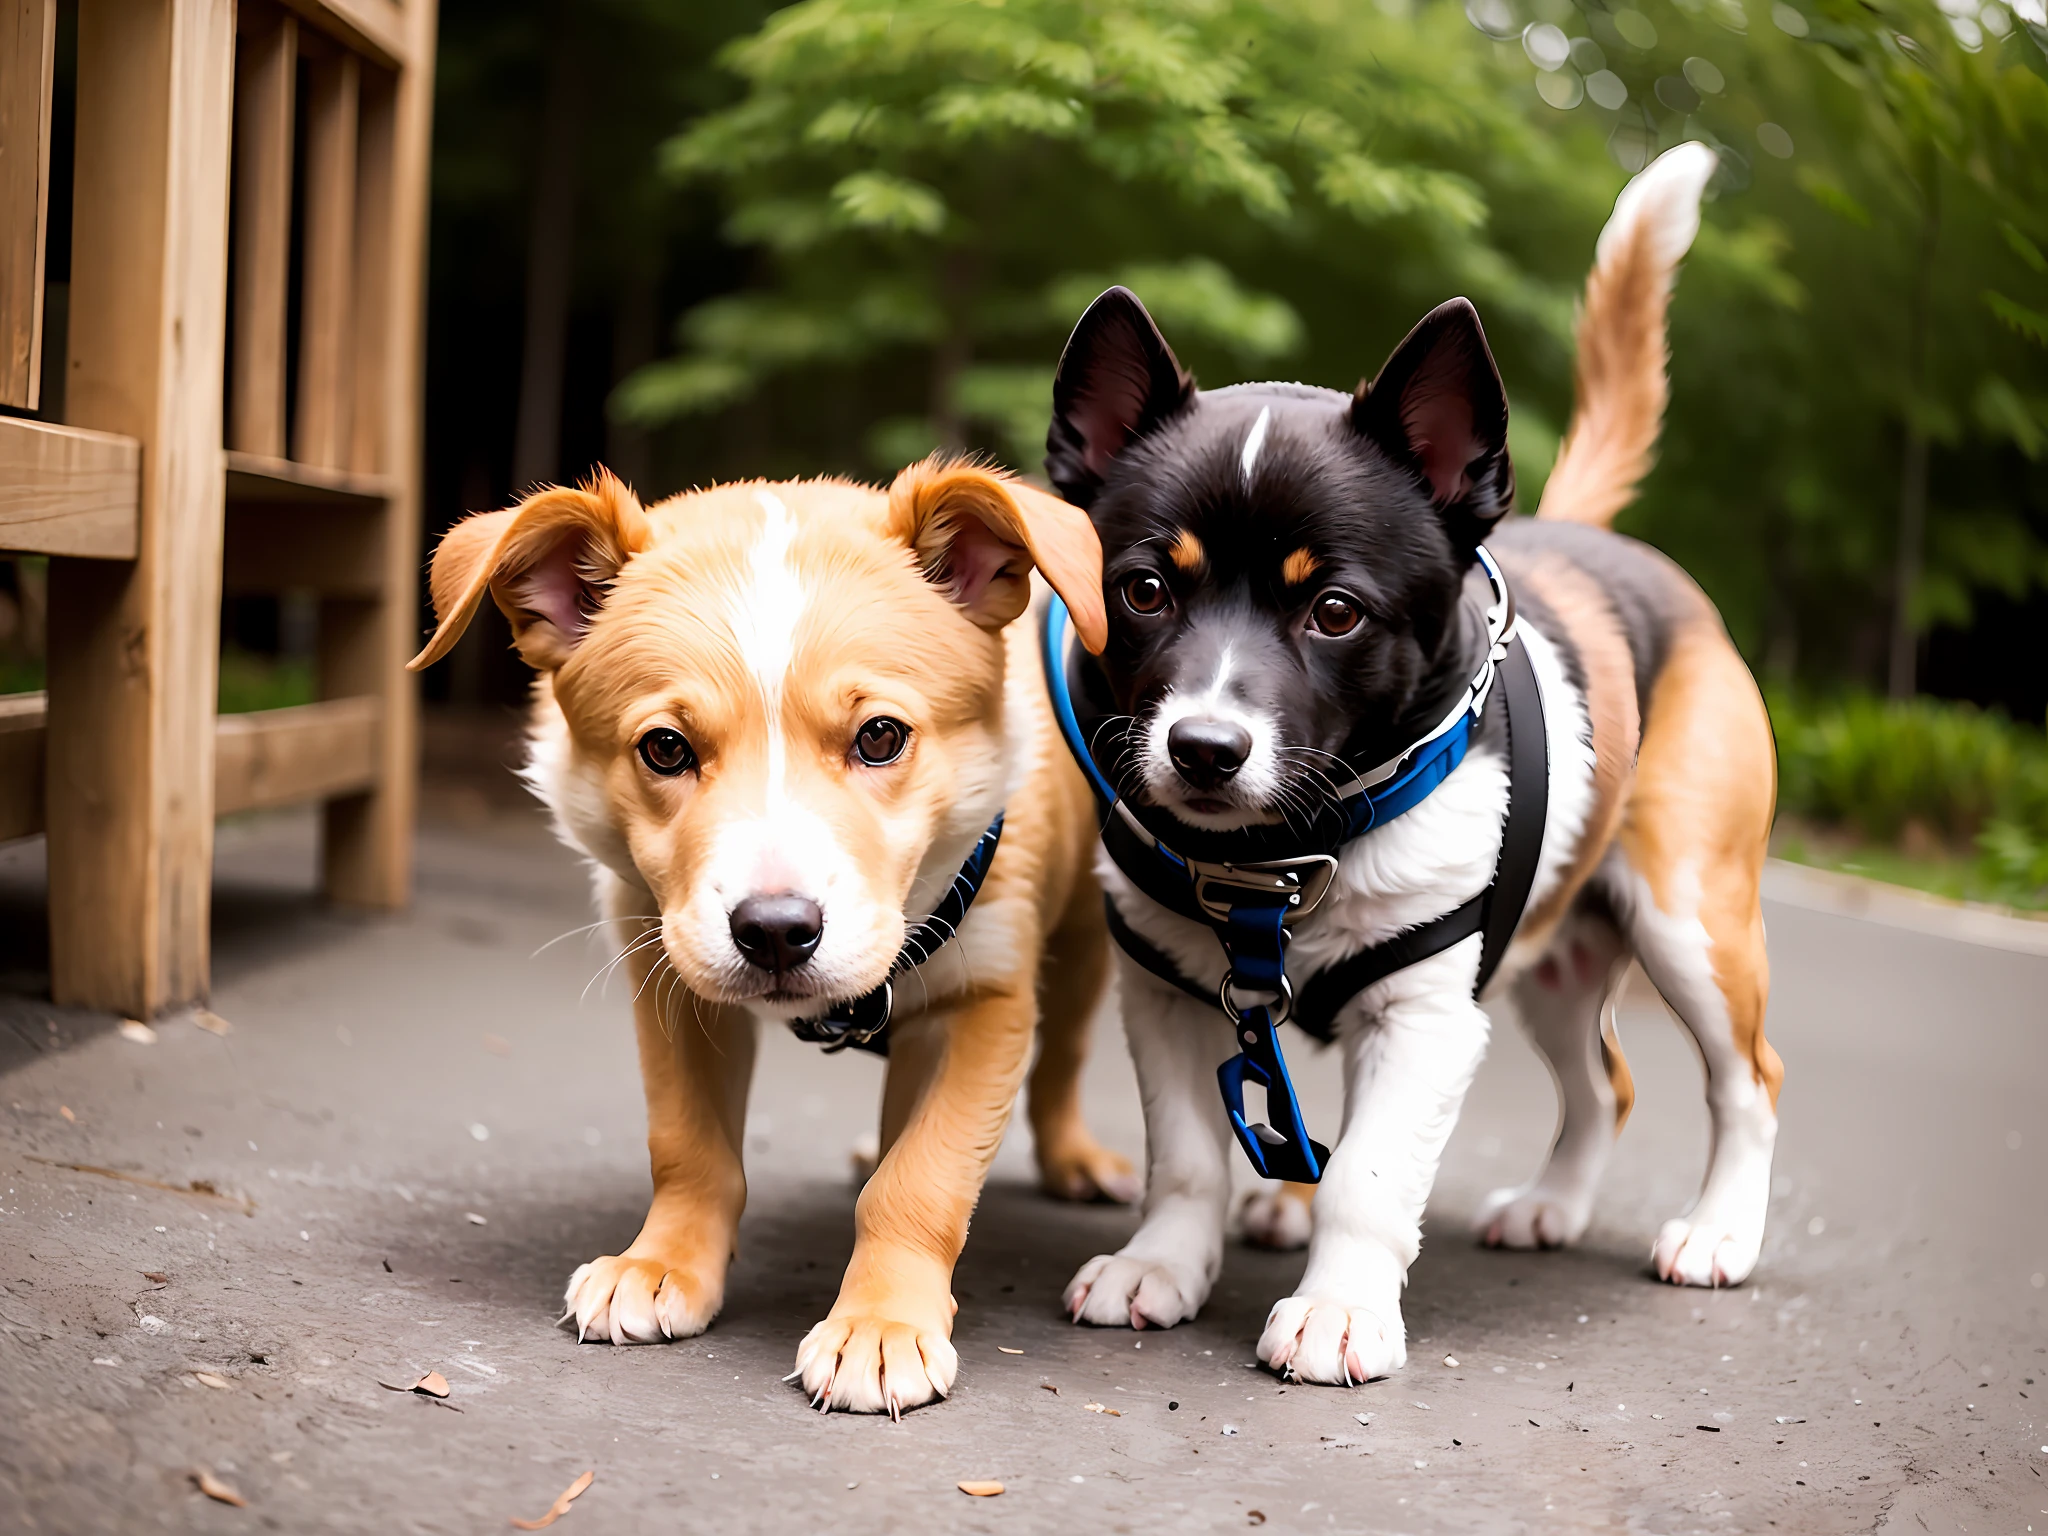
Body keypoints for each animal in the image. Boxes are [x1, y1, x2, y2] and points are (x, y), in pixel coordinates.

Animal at [401, 460, 1138, 1417]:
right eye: (665, 749)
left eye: (881, 736)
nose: (777, 934)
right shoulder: (672, 977)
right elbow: (689, 1147)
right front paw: (661, 1264)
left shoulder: (986, 997)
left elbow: (921, 1177)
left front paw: (881, 1325)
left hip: (1084, 934)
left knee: (1065, 1056)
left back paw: (1082, 1160)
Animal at [1048, 144, 1785, 1392]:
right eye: (1142, 589)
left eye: (1335, 610)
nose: (1203, 750)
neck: (1286, 855)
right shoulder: (1168, 991)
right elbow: (1189, 1153)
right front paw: (1162, 1263)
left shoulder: (1425, 1015)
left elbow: (1367, 1175)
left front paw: (1339, 1307)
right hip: (1552, 964)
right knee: (1602, 1084)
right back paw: (1549, 1203)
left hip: (1690, 921)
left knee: (1746, 1080)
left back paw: (1718, 1230)